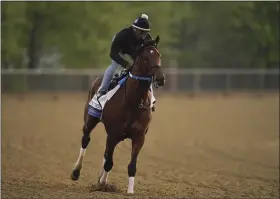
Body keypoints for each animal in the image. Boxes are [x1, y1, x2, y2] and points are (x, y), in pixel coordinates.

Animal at [71, 35, 165, 193]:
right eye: (145, 57)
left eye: (159, 55)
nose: (160, 78)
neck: (133, 101)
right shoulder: (113, 133)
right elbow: (109, 162)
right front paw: (102, 183)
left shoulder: (139, 136)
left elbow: (131, 166)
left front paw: (130, 191)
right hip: (90, 120)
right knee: (86, 140)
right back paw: (76, 172)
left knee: (106, 152)